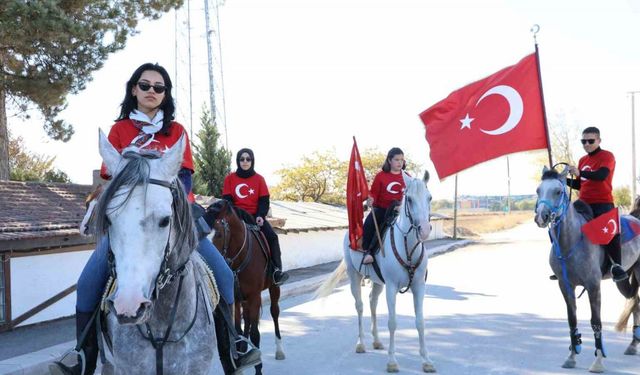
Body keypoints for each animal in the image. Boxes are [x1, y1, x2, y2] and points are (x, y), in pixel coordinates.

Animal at [205, 200, 284, 375]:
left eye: (219, 234)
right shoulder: (235, 298)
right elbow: (237, 328)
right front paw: (239, 356)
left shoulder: (255, 296)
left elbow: (255, 333)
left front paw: (258, 368)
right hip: (244, 299)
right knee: (246, 320)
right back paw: (243, 348)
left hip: (274, 289)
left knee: (274, 313)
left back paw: (279, 350)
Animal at [316, 173, 436, 374]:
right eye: (410, 199)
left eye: (430, 198)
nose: (425, 230)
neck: (407, 247)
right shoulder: (392, 287)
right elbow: (392, 322)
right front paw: (392, 361)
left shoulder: (419, 286)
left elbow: (420, 322)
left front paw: (426, 361)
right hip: (354, 276)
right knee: (360, 306)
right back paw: (361, 344)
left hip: (378, 281)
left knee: (372, 302)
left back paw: (377, 341)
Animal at [536, 167, 640, 374]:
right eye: (538, 190)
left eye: (558, 191)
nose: (541, 217)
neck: (572, 240)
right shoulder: (565, 285)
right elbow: (572, 320)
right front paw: (571, 356)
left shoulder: (593, 286)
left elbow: (596, 322)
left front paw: (598, 361)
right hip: (624, 280)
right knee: (635, 303)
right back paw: (632, 346)